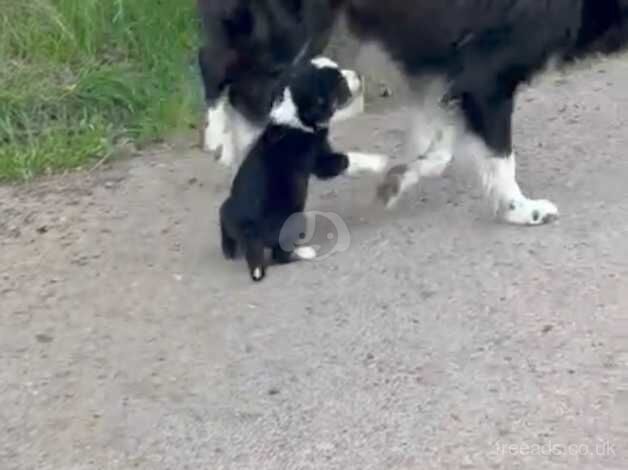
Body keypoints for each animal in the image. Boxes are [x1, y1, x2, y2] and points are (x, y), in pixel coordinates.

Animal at [197, 0, 628, 226]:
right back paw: (219, 137)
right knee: (219, 64)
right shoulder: (487, 76)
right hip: (289, 27)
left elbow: (439, 152)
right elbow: (501, 159)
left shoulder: (455, 77)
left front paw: (397, 179)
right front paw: (522, 210)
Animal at [221, 57, 388, 280]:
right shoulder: (322, 161)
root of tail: (250, 233)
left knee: (223, 217)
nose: (359, 75)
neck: (296, 115)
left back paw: (228, 249)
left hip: (229, 208)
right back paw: (305, 252)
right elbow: (350, 158)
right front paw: (379, 161)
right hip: (294, 220)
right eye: (339, 82)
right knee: (280, 255)